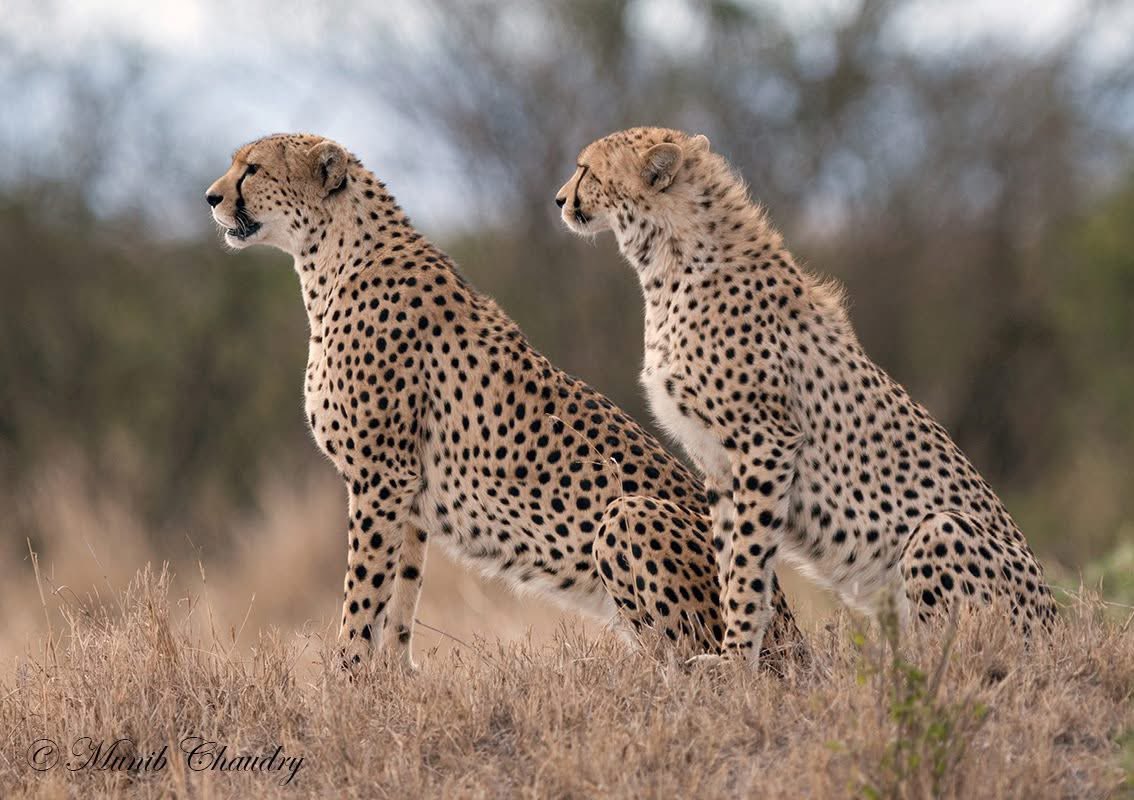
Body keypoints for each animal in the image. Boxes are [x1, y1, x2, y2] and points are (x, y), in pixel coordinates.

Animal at [205, 133, 805, 671]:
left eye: (252, 168)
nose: (211, 197)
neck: (332, 255)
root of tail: (797, 639)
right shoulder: (408, 492)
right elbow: (401, 592)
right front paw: (394, 677)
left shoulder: (382, 477)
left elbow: (364, 591)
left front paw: (345, 678)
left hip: (630, 518)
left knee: (683, 654)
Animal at [555, 126, 1057, 668]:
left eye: (585, 169)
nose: (560, 199)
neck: (668, 255)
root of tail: (1056, 626)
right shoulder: (718, 464)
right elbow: (729, 560)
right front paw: (739, 652)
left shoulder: (766, 443)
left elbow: (748, 568)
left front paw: (736, 661)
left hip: (941, 530)